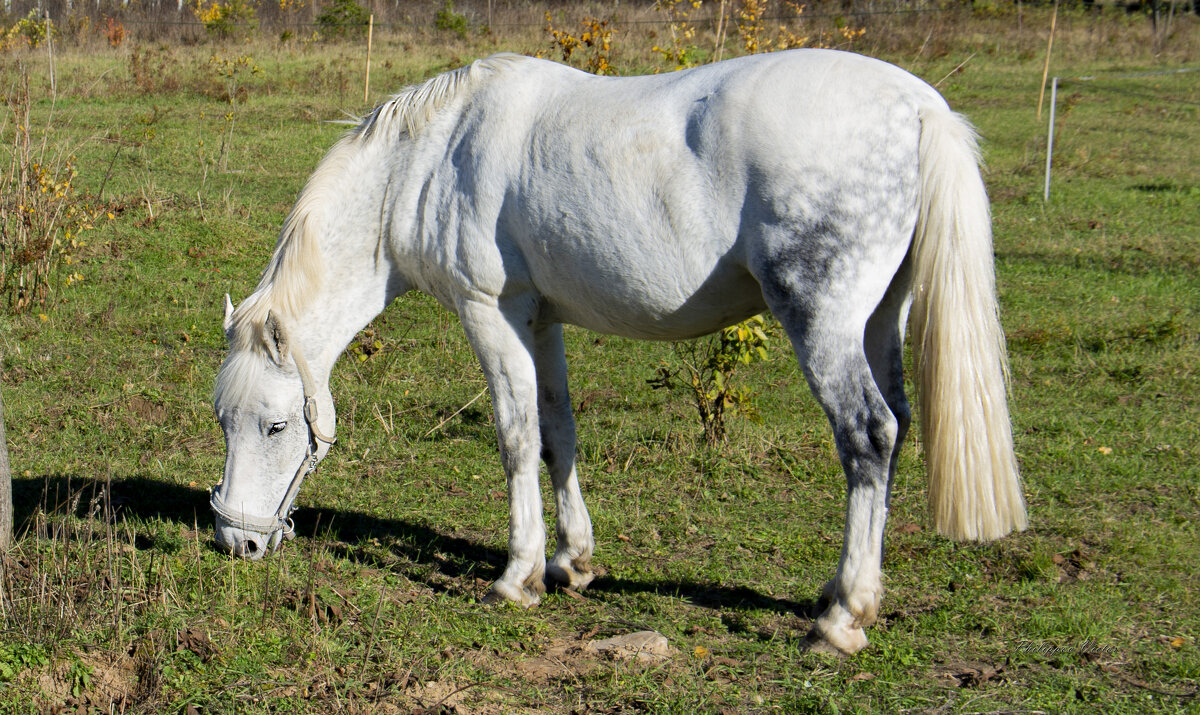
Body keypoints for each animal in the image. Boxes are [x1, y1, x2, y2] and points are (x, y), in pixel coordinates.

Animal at [211, 48, 1027, 652]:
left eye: (275, 425)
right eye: (225, 421)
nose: (235, 541)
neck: (431, 160)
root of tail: (919, 107)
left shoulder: (489, 313)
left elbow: (515, 437)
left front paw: (516, 576)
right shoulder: (538, 320)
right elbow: (557, 432)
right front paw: (571, 562)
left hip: (824, 322)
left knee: (869, 435)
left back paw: (841, 618)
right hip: (879, 319)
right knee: (898, 426)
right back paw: (847, 594)